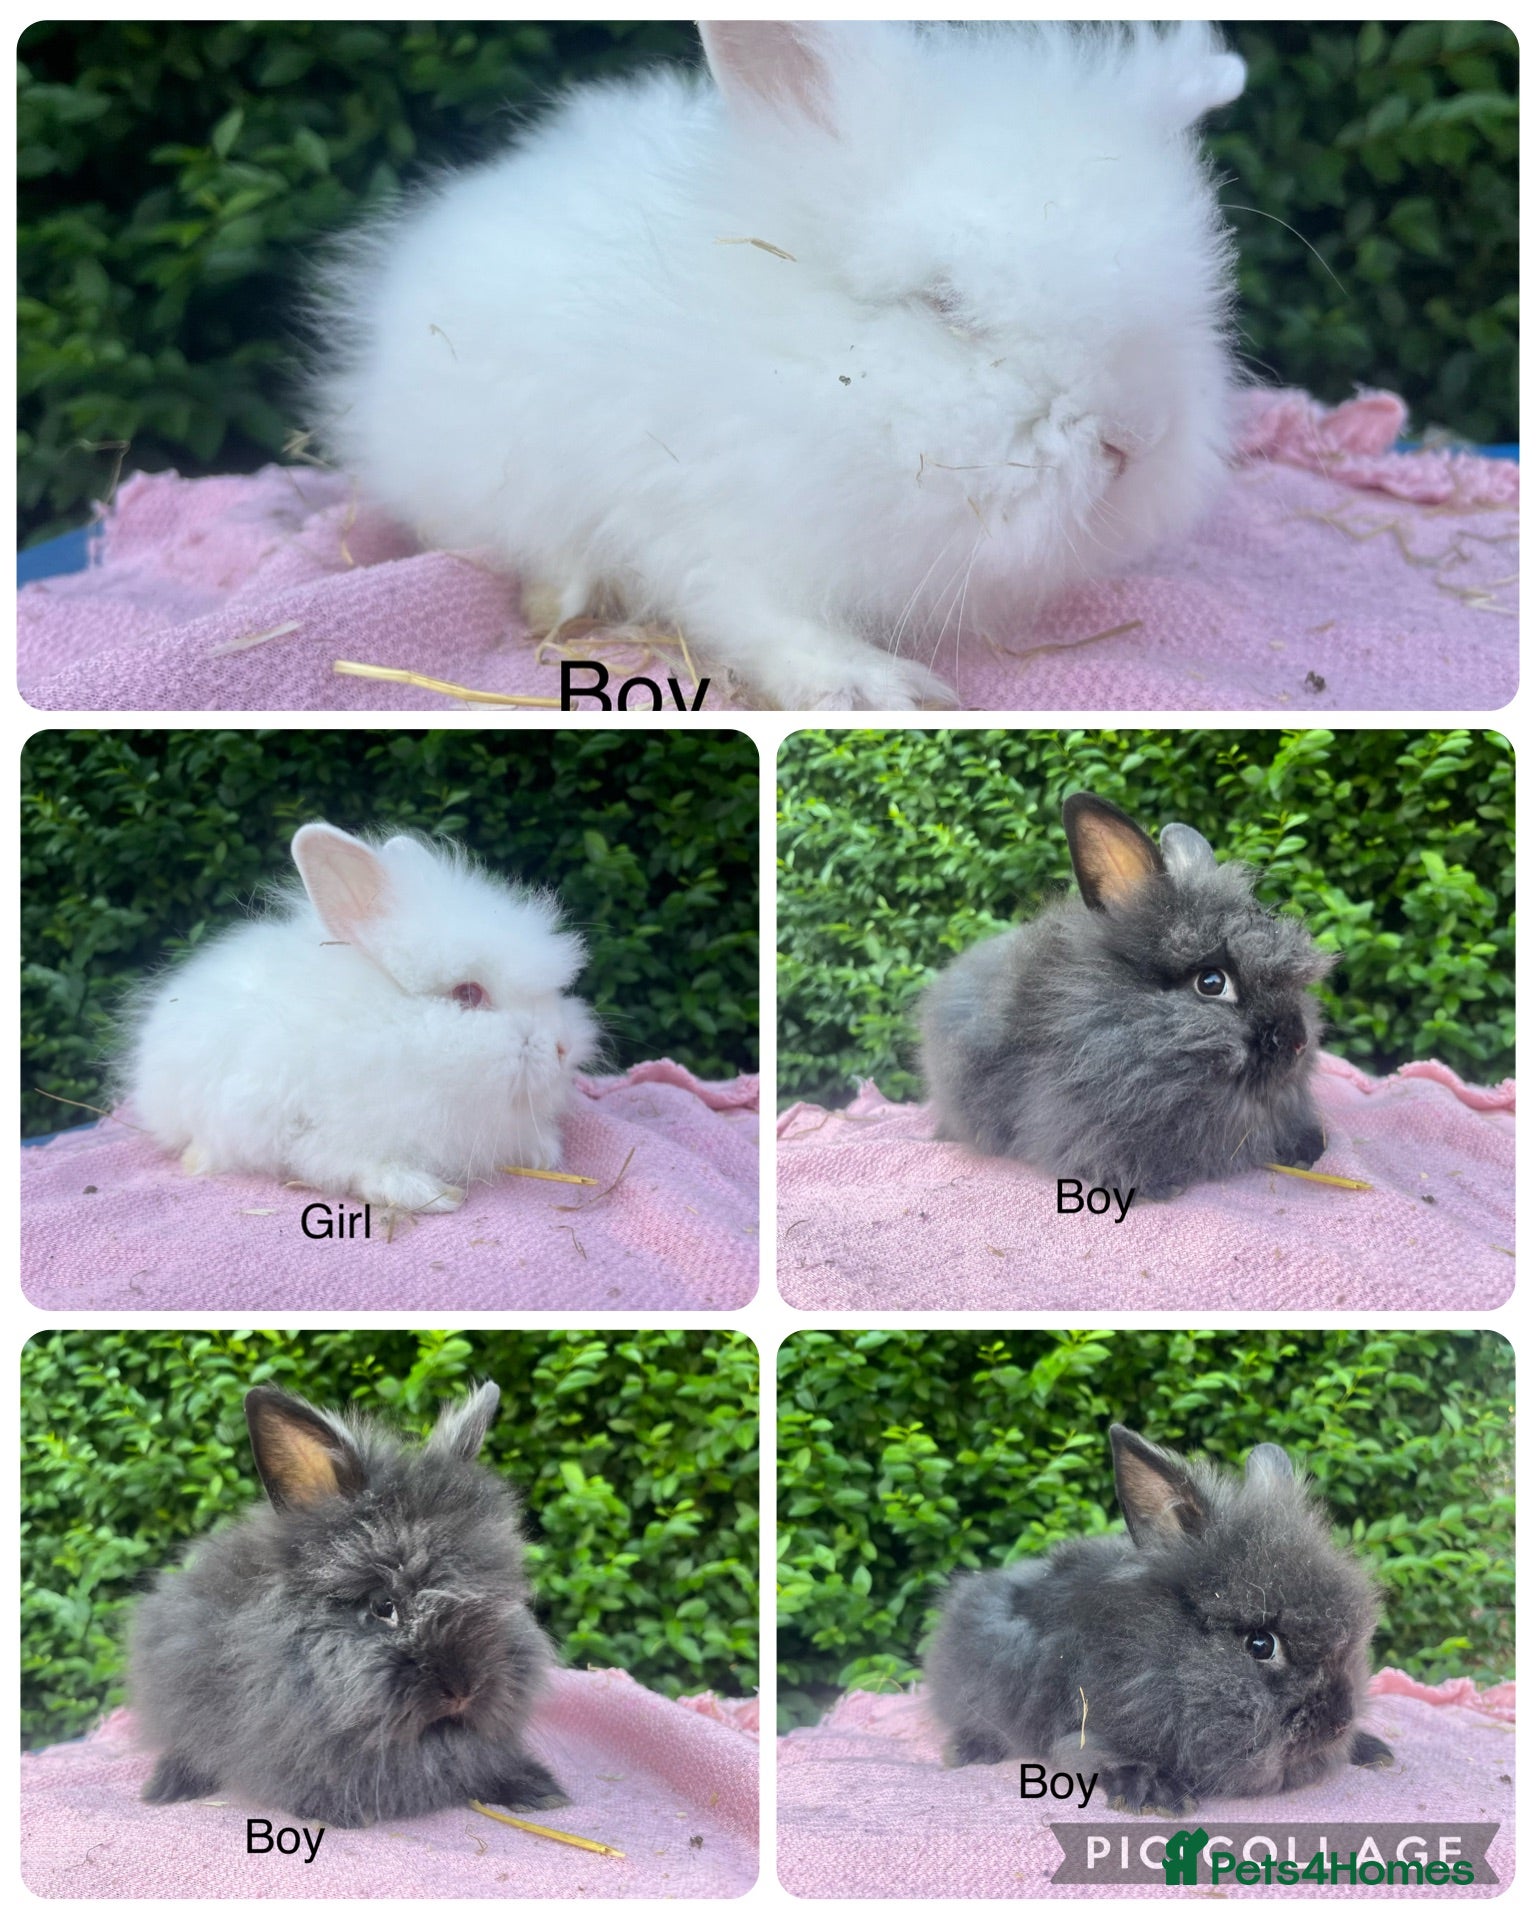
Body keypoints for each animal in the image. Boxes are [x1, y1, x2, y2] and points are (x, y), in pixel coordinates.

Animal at [120, 822, 600, 1213]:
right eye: (468, 994)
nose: (563, 1047)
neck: (389, 1031)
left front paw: (541, 1151)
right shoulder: (311, 1134)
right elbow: (353, 1165)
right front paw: (426, 1194)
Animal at [311, 21, 1246, 710]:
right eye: (943, 304)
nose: (1134, 438)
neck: (794, 368)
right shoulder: (707, 524)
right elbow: (758, 614)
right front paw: (876, 689)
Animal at [926, 1423, 1394, 1814]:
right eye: (1261, 1644)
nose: (1339, 1721)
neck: (1157, 1660)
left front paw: (1373, 1750)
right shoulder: (1086, 1729)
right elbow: (1101, 1755)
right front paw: (1156, 1794)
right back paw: (969, 1752)